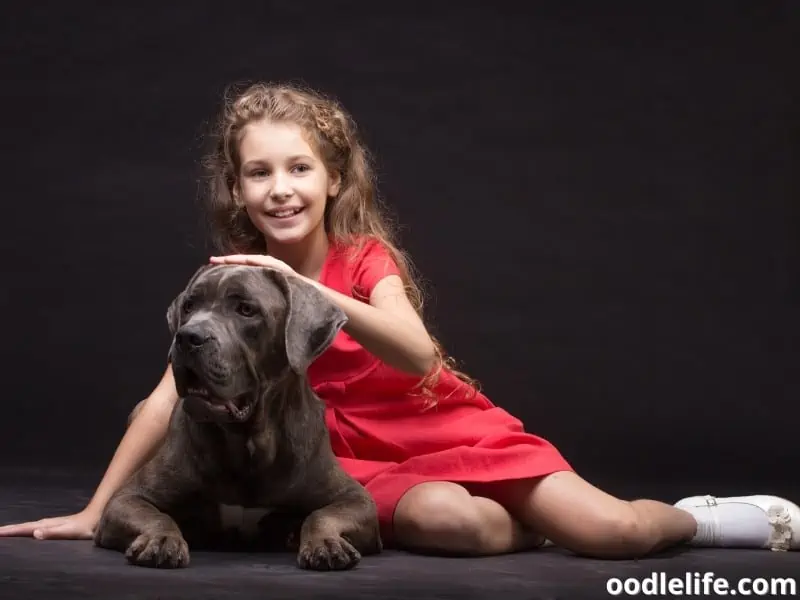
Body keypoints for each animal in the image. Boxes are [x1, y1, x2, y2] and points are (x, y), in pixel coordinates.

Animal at [91, 264, 384, 568]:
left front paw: (325, 543)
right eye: (189, 306)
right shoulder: (127, 498)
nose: (187, 337)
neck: (248, 441)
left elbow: (322, 515)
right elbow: (156, 515)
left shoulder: (354, 498)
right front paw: (161, 540)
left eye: (245, 309)